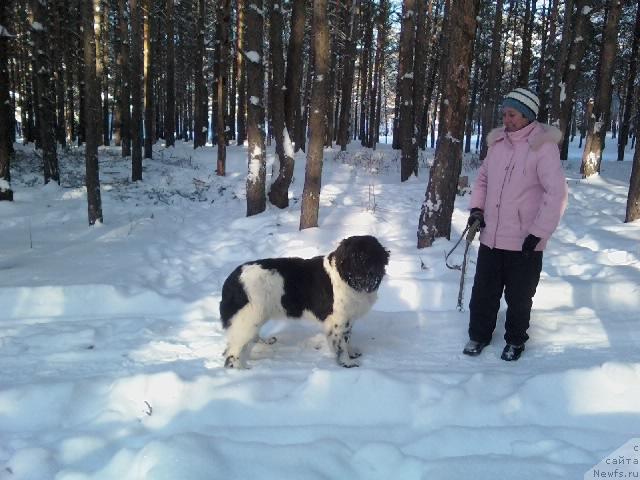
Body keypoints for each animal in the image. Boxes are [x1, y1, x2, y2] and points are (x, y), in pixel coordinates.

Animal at [220, 235, 390, 368]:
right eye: (354, 257)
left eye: (370, 257)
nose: (367, 273)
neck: (347, 278)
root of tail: (232, 279)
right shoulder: (338, 320)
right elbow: (341, 344)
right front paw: (347, 363)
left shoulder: (349, 318)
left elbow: (347, 339)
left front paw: (352, 352)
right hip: (249, 317)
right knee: (233, 352)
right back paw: (242, 370)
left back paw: (265, 342)